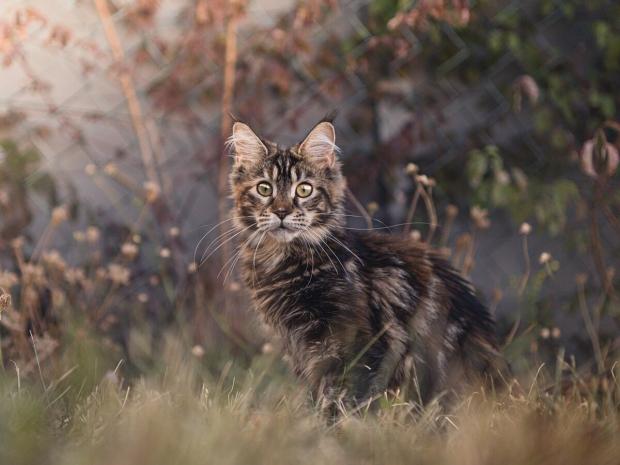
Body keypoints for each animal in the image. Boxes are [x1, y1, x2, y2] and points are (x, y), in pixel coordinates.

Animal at [228, 116, 508, 410]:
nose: (282, 212)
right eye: (264, 189)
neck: (285, 262)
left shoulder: (357, 344)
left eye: (304, 190)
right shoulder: (299, 348)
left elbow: (342, 397)